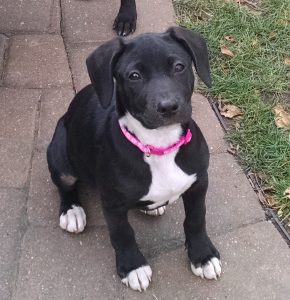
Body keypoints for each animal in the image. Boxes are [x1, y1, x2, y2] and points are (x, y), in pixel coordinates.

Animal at [47, 26, 221, 290]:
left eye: (179, 67)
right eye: (134, 75)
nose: (168, 107)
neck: (158, 145)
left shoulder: (199, 182)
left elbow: (196, 219)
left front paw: (203, 255)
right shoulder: (113, 202)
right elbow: (123, 234)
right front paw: (133, 267)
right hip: (59, 152)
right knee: (65, 185)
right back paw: (72, 211)